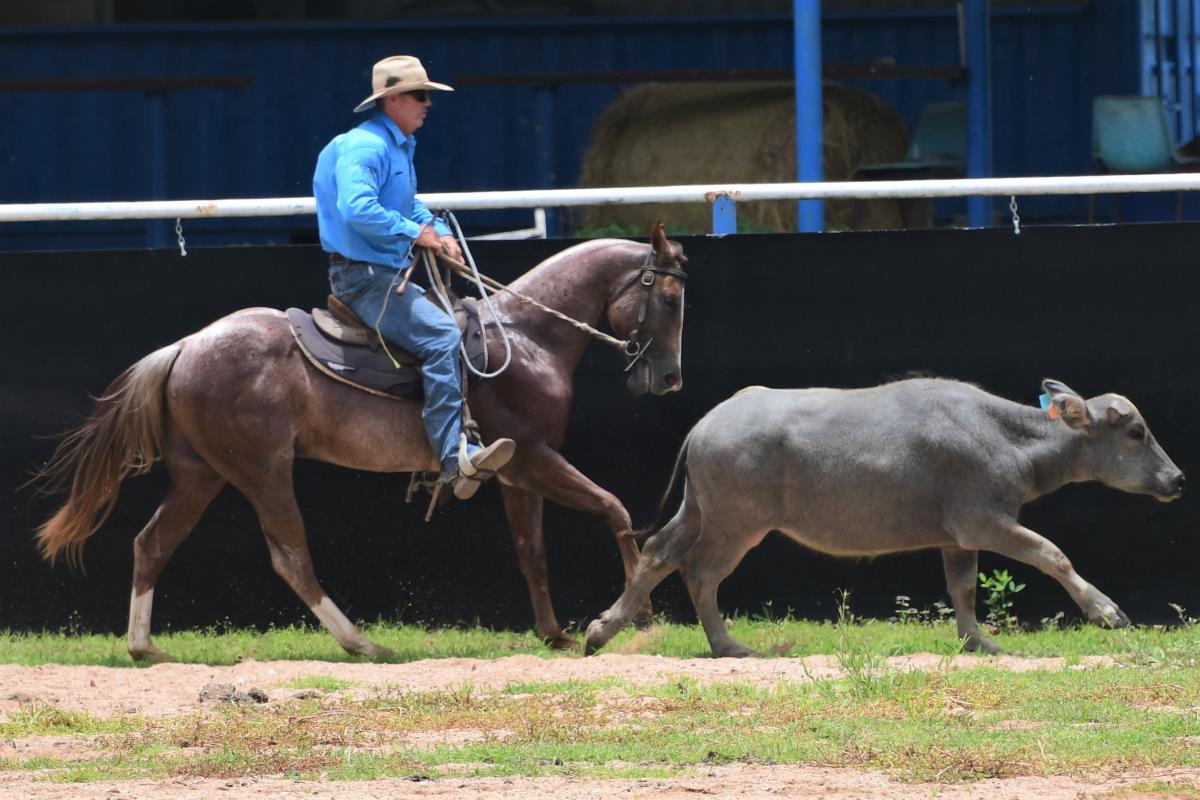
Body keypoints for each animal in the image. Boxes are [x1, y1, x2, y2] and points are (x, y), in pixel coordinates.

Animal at [34, 223, 688, 662]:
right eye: (670, 298)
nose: (669, 379)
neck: (527, 336)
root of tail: (186, 346)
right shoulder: (533, 456)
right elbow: (614, 508)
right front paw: (634, 616)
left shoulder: (515, 471)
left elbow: (533, 552)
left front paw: (555, 634)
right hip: (263, 470)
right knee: (290, 556)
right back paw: (362, 643)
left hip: (203, 475)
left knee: (152, 543)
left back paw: (145, 648)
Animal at [585, 378, 1186, 657]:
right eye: (1137, 432)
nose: (1178, 479)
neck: (1008, 437)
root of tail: (708, 421)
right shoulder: (985, 522)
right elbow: (1051, 554)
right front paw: (1107, 611)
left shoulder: (957, 538)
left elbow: (962, 588)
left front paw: (978, 642)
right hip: (737, 523)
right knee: (701, 571)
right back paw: (727, 644)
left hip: (700, 509)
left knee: (659, 552)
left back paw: (601, 629)